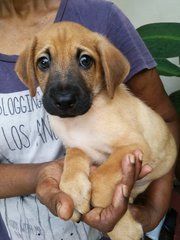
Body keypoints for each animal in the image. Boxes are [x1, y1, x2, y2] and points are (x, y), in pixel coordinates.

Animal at [15, 22, 177, 240]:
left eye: (85, 61)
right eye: (43, 62)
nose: (64, 101)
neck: (80, 121)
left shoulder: (134, 146)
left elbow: (101, 179)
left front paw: (119, 224)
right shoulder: (76, 147)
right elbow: (72, 164)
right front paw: (74, 191)